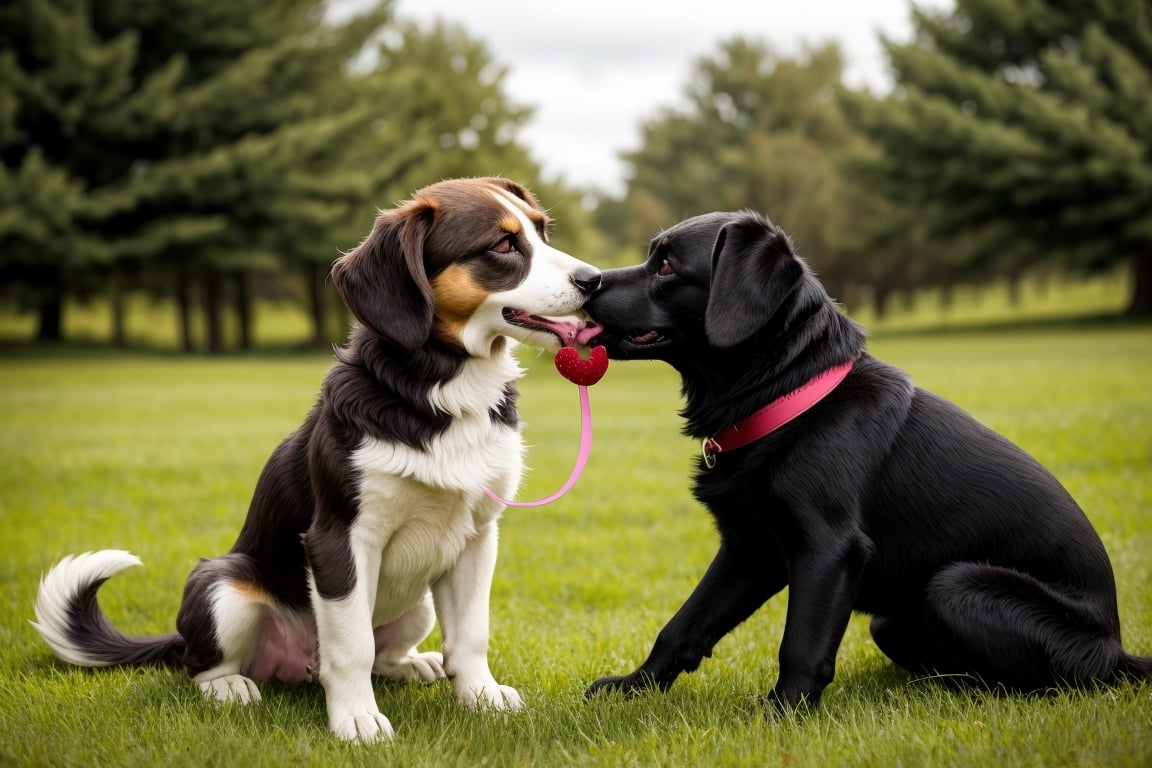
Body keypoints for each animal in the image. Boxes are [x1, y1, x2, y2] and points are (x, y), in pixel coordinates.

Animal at [31, 178, 603, 746]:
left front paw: (480, 697)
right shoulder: (339, 538)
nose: (594, 280)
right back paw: (231, 687)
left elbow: (470, 635)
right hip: (224, 585)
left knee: (388, 653)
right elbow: (351, 647)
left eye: (542, 231)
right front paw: (357, 719)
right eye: (503, 245)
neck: (442, 388)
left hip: (416, 601)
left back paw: (415, 664)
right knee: (203, 665)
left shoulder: (478, 538)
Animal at [585, 208, 1152, 709]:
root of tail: (1117, 648)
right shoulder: (751, 549)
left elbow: (800, 646)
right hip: (893, 619)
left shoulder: (829, 549)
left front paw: (782, 716)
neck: (789, 397)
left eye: (666, 266)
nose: (588, 282)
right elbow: (684, 626)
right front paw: (632, 688)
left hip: (956, 586)